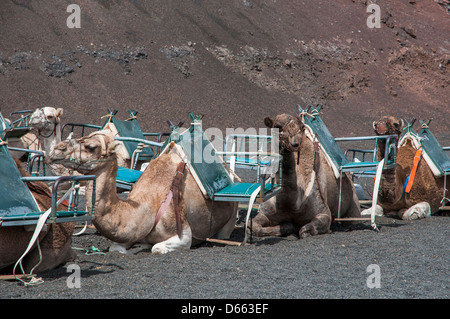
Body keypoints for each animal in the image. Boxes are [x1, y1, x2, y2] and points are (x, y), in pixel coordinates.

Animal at [48, 131, 239, 254]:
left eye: (91, 146)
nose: (56, 149)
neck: (149, 204)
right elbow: (116, 248)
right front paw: (139, 246)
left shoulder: (183, 234)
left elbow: (157, 248)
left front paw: (147, 246)